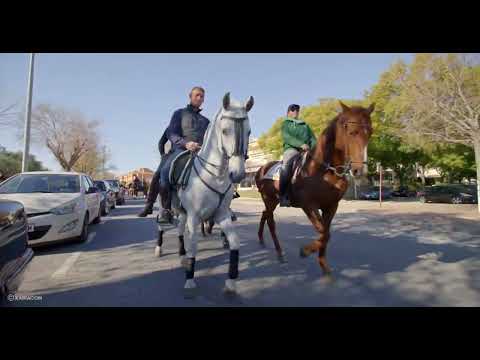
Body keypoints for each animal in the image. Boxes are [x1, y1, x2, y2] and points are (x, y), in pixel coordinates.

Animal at [255, 101, 376, 276]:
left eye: (370, 132)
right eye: (352, 132)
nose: (360, 170)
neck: (323, 170)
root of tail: (261, 169)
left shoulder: (331, 206)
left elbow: (326, 234)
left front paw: (323, 265)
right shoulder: (309, 205)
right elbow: (324, 232)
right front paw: (305, 251)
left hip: (272, 201)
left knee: (265, 214)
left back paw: (261, 239)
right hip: (269, 199)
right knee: (271, 221)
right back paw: (279, 253)